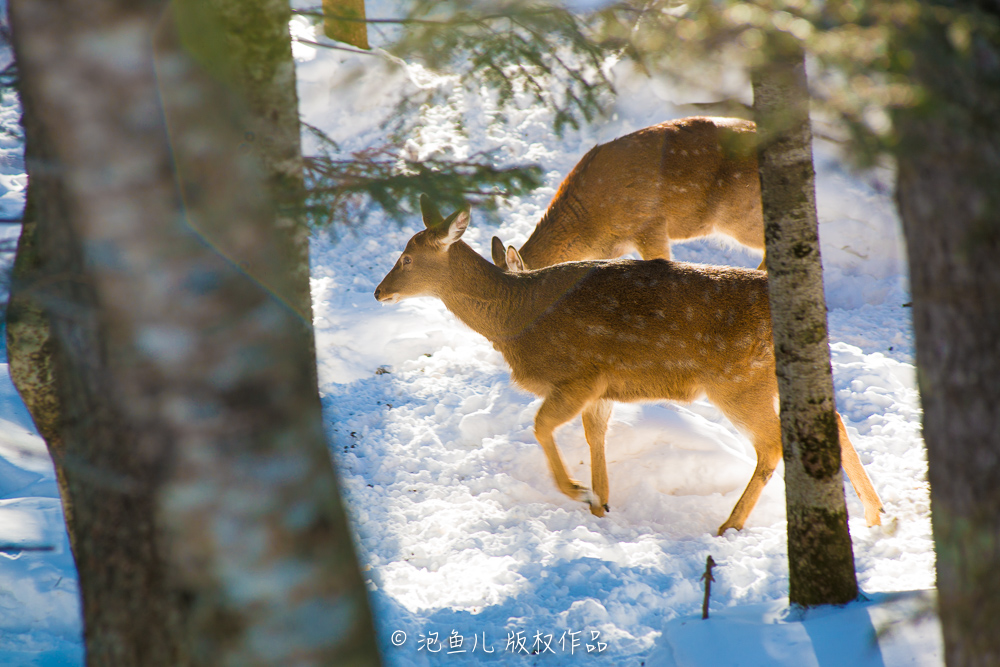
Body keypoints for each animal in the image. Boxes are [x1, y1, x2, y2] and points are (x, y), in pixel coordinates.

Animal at [376, 196, 884, 536]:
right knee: (833, 420)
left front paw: (579, 492)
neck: (515, 318)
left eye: (407, 257)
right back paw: (878, 515)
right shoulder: (600, 389)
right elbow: (595, 437)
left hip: (737, 380)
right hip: (765, 376)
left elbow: (542, 426)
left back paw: (729, 526)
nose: (379, 291)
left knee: (771, 445)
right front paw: (601, 505)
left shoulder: (580, 373)